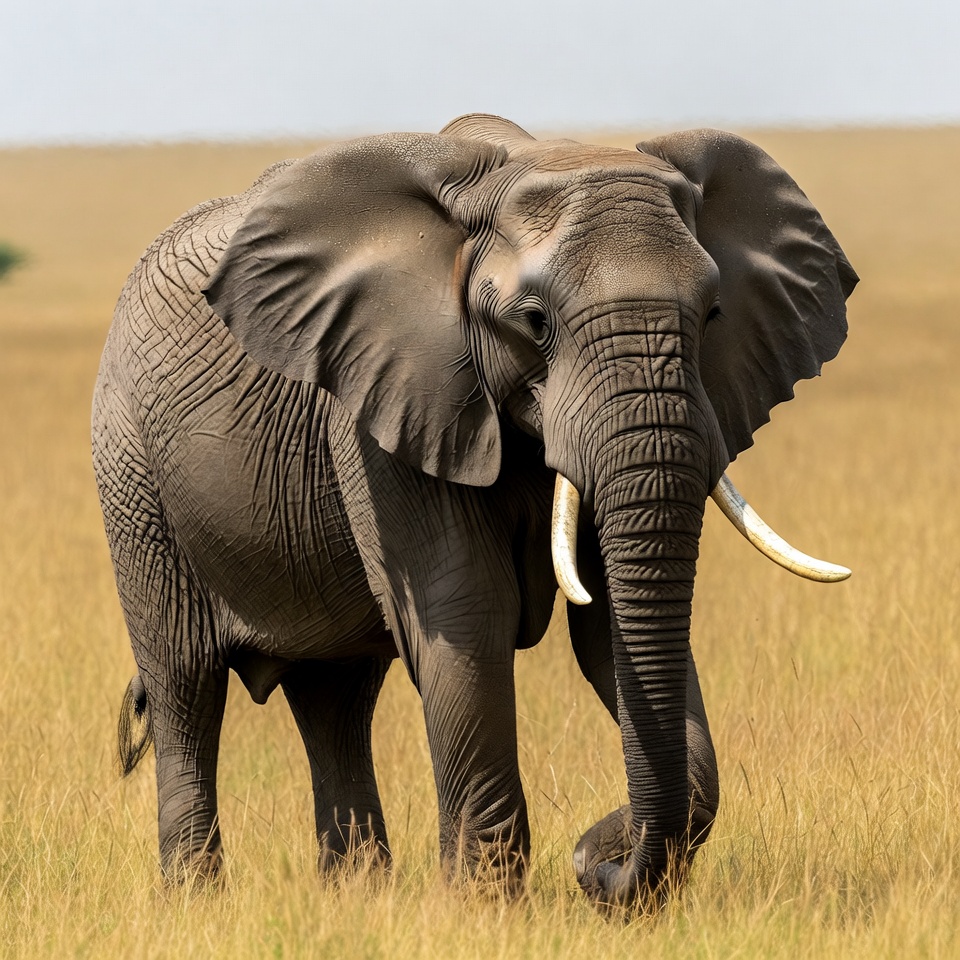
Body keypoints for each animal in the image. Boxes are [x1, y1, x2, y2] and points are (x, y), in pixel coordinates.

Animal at [93, 113, 856, 910]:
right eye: (535, 321)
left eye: (712, 315)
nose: (596, 861)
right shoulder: (389, 405)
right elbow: (469, 614)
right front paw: (482, 909)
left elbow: (607, 628)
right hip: (131, 474)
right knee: (186, 686)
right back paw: (196, 899)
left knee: (336, 696)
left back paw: (357, 899)